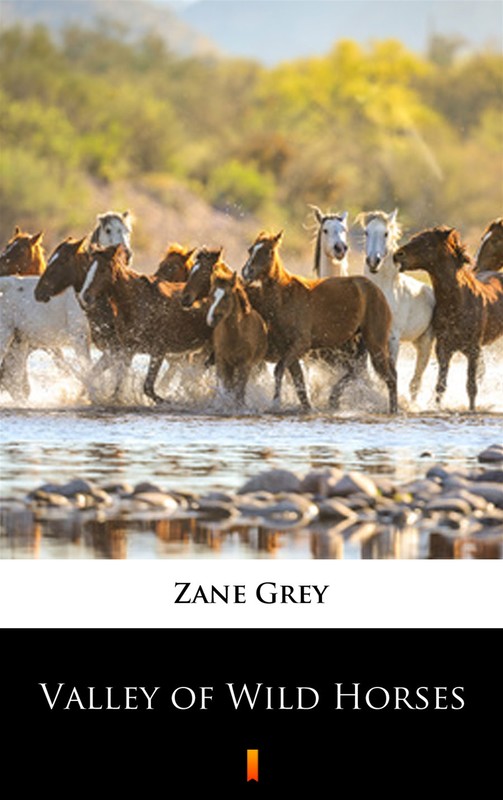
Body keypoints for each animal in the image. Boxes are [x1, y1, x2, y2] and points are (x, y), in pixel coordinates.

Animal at [79, 243, 212, 404]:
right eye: (88, 268)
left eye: (103, 269)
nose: (85, 296)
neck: (137, 303)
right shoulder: (127, 350)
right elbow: (117, 387)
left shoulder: (158, 350)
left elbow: (148, 388)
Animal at [206, 271, 268, 406]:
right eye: (211, 294)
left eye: (226, 296)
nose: (211, 319)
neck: (234, 336)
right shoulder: (222, 361)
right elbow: (226, 386)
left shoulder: (245, 364)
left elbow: (239, 390)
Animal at [241, 230, 397, 413]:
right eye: (250, 250)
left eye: (269, 251)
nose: (247, 271)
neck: (284, 297)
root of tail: (376, 290)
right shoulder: (290, 350)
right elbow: (299, 383)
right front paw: (307, 408)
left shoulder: (301, 344)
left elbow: (280, 370)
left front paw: (275, 403)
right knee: (365, 372)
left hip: (375, 343)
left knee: (389, 377)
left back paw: (392, 410)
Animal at [356, 209, 435, 401]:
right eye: (366, 232)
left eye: (386, 233)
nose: (373, 261)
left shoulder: (392, 338)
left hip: (425, 343)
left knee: (416, 382)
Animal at [393, 226, 503, 411]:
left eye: (426, 242)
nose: (397, 255)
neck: (458, 302)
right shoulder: (444, 347)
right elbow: (441, 385)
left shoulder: (473, 349)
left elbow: (471, 386)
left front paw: (472, 410)